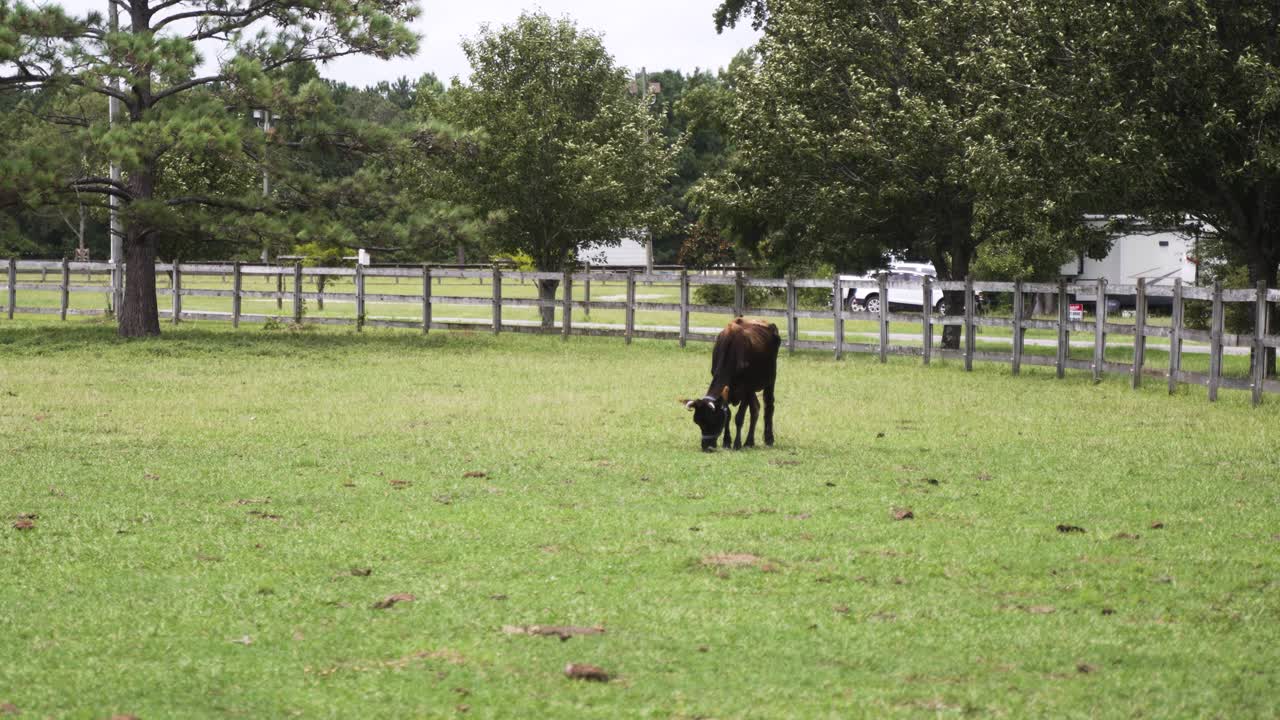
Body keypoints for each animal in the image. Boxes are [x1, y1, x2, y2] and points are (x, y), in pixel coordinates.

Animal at [684, 318, 781, 451]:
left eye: (712, 421)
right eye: (698, 422)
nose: (706, 447)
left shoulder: (746, 388)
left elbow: (739, 417)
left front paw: (737, 443)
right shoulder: (728, 390)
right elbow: (728, 415)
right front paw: (726, 441)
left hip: (770, 380)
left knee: (769, 406)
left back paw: (768, 438)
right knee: (755, 408)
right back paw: (750, 442)